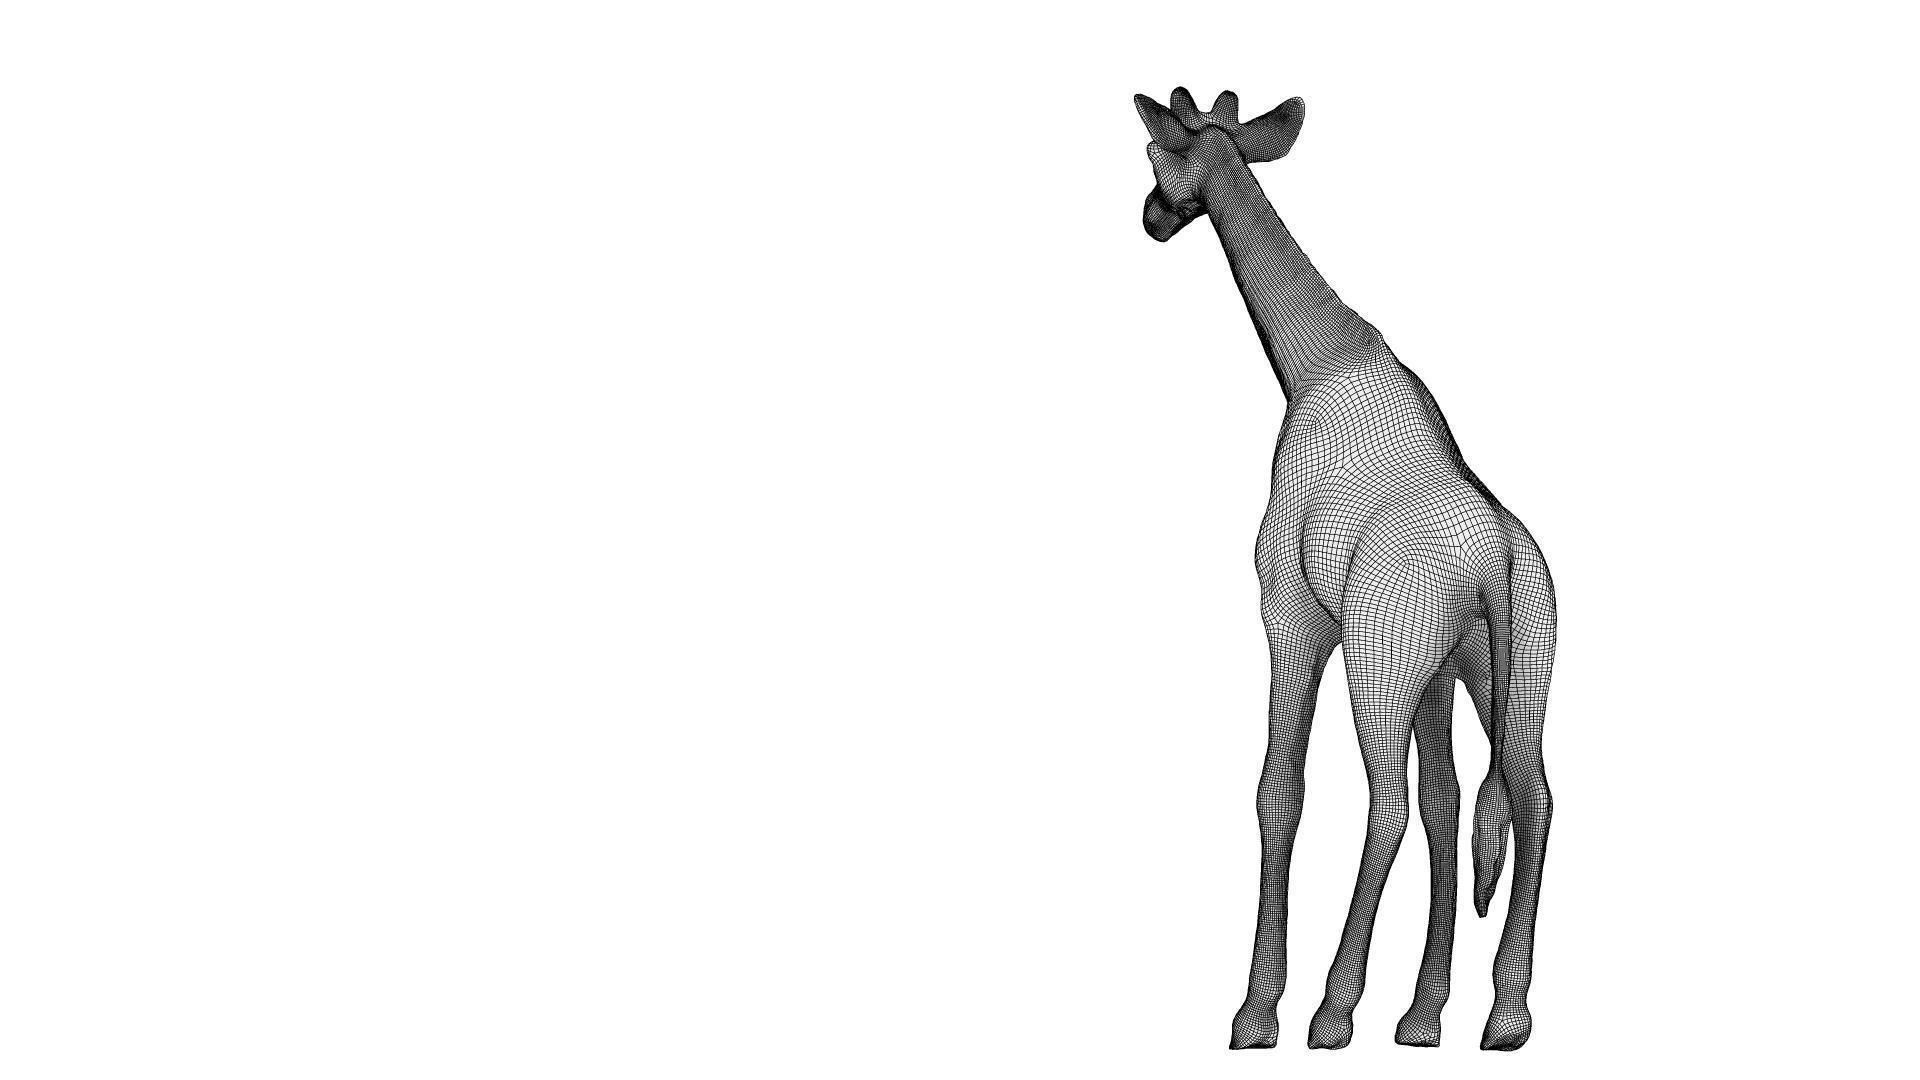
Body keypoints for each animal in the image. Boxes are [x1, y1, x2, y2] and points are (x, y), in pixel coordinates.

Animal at [1132, 88, 1557, 1051]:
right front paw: (1427, 1010)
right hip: (1506, 670)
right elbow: (1447, 803)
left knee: (1390, 803)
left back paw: (1333, 1012)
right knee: (1523, 793)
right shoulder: (1434, 672)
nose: (1150, 218)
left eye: (1156, 156)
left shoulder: (1293, 615)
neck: (1311, 362)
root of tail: (1496, 558)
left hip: (1382, 659)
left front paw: (1256, 1013)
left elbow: (1276, 792)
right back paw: (1489, 1015)